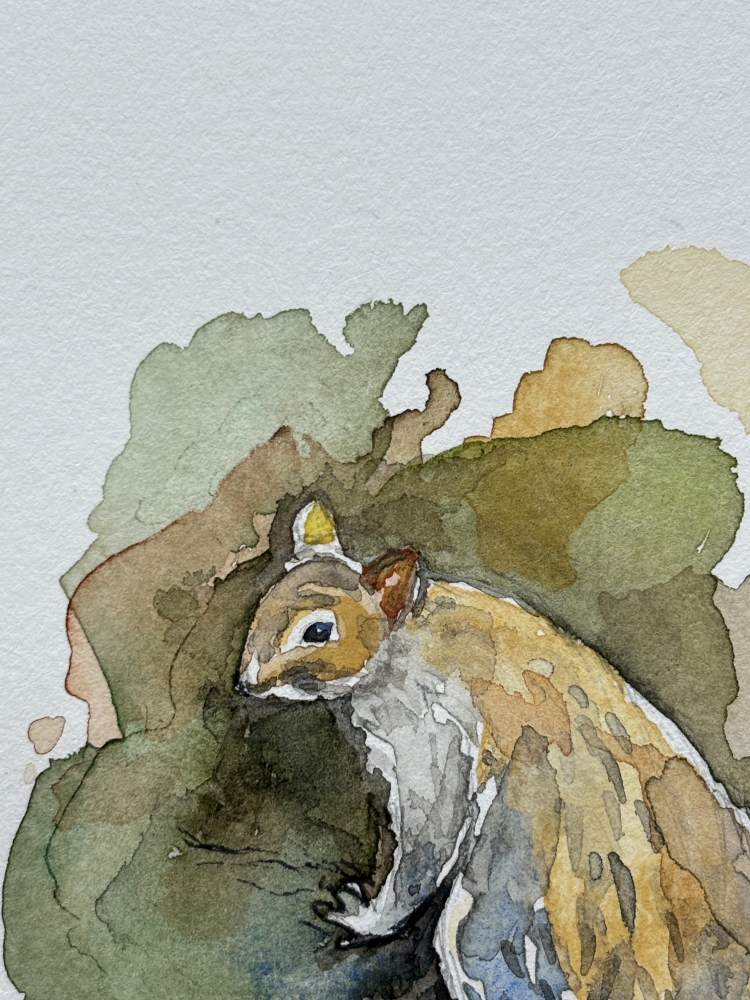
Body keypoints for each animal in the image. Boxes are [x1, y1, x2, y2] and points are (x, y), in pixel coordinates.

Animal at [237, 501, 750, 1000]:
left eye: (317, 632)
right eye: (264, 602)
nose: (244, 683)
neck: (405, 639)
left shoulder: (428, 737)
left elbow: (427, 843)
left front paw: (366, 917)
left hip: (493, 914)